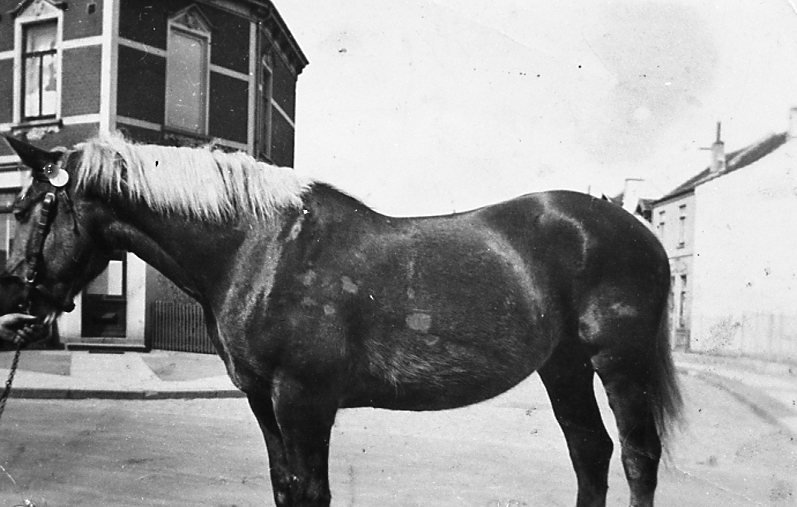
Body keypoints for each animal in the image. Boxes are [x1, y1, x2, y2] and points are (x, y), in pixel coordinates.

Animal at [1, 133, 681, 506]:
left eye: (28, 209)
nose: (16, 311)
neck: (259, 246)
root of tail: (637, 229)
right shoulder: (264, 401)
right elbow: (285, 488)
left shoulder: (304, 400)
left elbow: (311, 492)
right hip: (563, 367)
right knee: (590, 453)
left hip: (618, 364)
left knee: (636, 458)